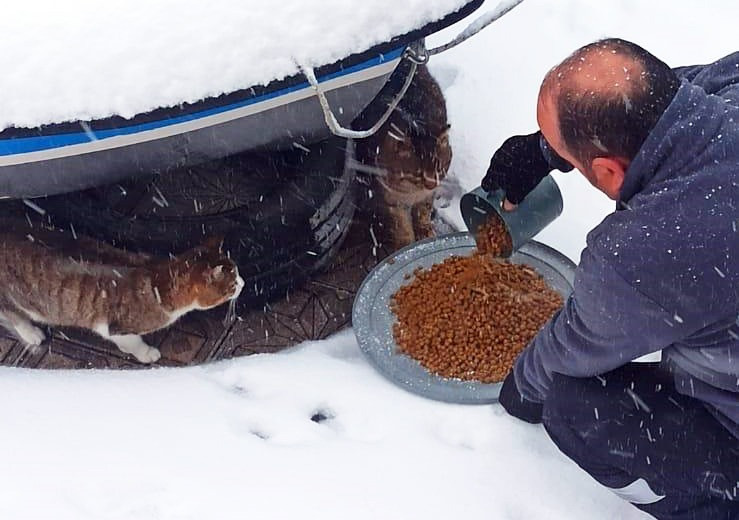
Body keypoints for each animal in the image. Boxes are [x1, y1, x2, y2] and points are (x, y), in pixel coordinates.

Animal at [0, 225, 246, 364]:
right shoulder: (116, 328)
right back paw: (32, 333)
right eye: (232, 283)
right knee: (11, 313)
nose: (243, 284)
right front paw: (148, 354)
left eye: (238, 271)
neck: (158, 279)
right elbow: (133, 343)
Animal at [356, 63, 454, 250]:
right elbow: (401, 227)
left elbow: (422, 213)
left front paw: (425, 232)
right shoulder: (390, 201)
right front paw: (405, 244)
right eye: (418, 172)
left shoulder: (425, 196)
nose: (432, 184)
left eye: (439, 168)